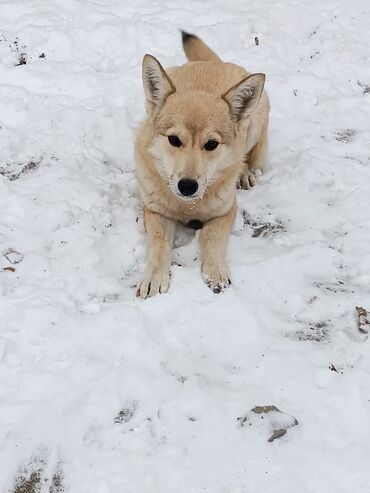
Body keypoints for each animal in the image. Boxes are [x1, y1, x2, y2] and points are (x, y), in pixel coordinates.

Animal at [134, 33, 268, 300]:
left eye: (212, 144)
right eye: (174, 139)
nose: (187, 186)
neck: (188, 206)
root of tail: (214, 62)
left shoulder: (225, 211)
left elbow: (212, 236)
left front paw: (215, 271)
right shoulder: (155, 211)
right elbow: (159, 242)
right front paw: (154, 276)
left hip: (256, 120)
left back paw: (245, 172)